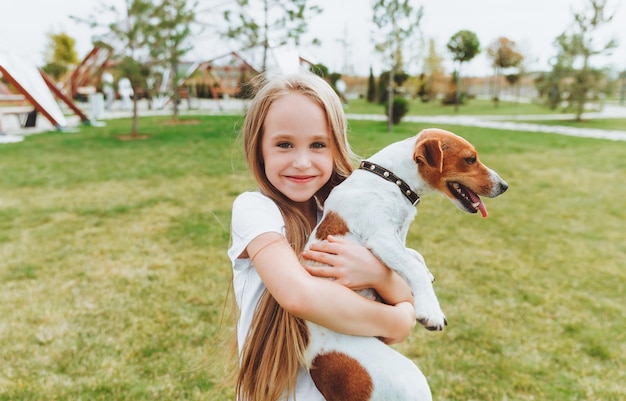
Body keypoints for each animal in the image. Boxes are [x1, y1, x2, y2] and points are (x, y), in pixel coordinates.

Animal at [302, 128, 508, 400]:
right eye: (470, 159)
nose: (505, 186)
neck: (392, 180)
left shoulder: (398, 240)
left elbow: (415, 256)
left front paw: (428, 275)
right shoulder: (382, 238)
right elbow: (414, 267)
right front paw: (431, 309)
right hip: (409, 380)